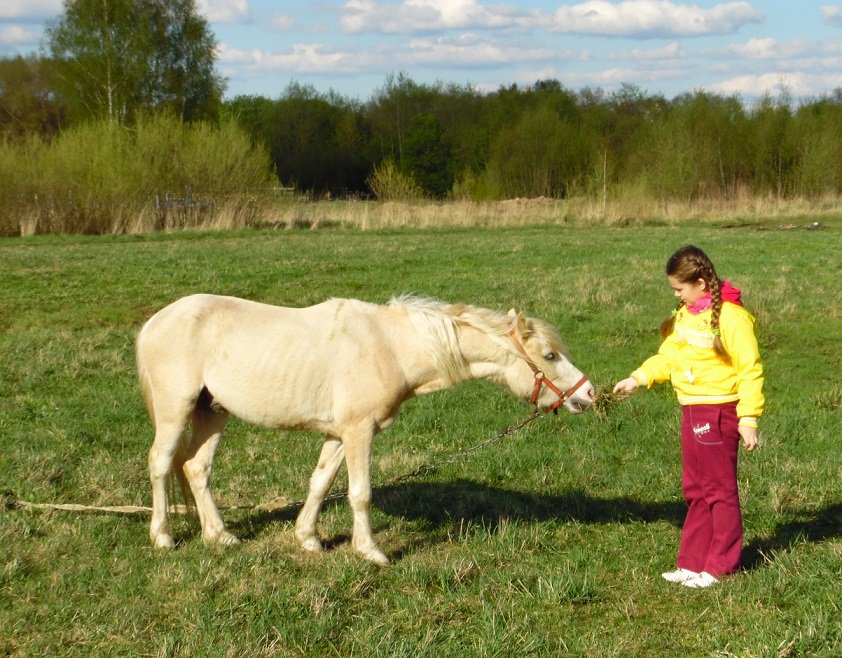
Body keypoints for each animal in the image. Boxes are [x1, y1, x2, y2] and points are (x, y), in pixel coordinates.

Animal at [135, 294, 592, 564]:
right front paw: (371, 551)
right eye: (549, 356)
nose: (588, 394)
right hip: (176, 411)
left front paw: (308, 539)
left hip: (212, 411)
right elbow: (360, 494)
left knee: (196, 469)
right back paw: (162, 537)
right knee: (160, 464)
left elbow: (320, 483)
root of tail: (155, 322)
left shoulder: (339, 435)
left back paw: (220, 536)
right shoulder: (359, 432)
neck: (390, 347)